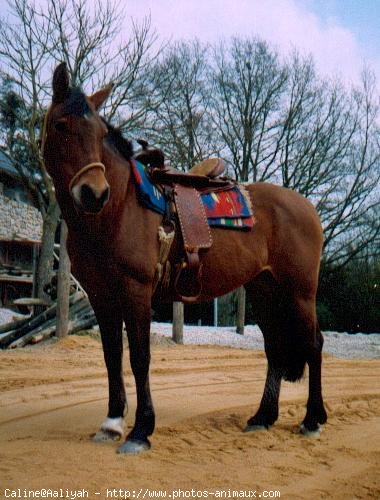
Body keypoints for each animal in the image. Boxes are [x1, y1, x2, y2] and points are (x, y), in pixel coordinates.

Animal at [40, 62, 326, 454]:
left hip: (300, 293)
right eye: (61, 125)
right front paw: (112, 422)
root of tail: (308, 208)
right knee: (275, 349)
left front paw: (140, 431)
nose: (94, 193)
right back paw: (262, 417)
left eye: (100, 133)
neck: (119, 209)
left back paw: (312, 420)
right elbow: (112, 356)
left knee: (314, 344)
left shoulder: (136, 292)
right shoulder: (102, 297)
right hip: (265, 291)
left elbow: (139, 357)